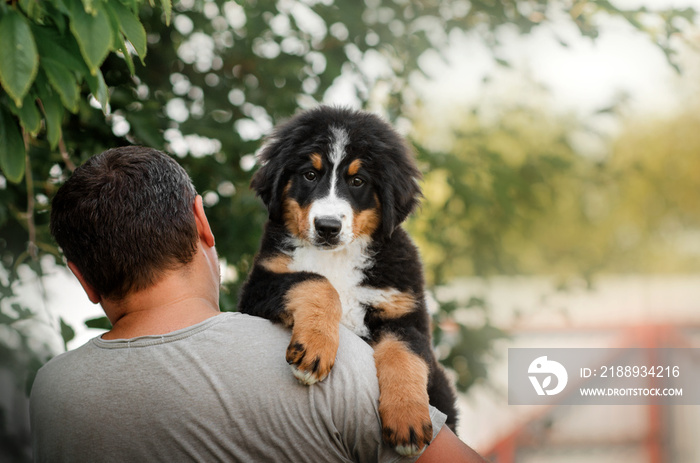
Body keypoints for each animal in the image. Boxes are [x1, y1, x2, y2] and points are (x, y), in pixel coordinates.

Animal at [239, 106, 460, 456]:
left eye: (357, 181)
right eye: (310, 175)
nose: (328, 227)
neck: (337, 257)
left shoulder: (404, 313)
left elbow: (405, 355)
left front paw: (408, 419)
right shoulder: (259, 285)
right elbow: (315, 282)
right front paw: (316, 347)